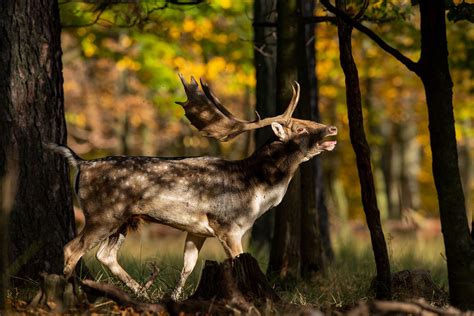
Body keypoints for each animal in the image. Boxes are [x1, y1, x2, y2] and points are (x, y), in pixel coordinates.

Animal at [47, 74, 336, 302]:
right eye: (300, 128)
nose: (332, 128)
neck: (256, 191)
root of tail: (82, 163)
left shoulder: (198, 230)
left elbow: (188, 265)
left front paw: (174, 297)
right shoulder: (227, 225)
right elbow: (237, 262)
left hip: (124, 219)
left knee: (105, 255)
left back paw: (142, 293)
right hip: (103, 213)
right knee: (72, 249)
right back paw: (69, 295)